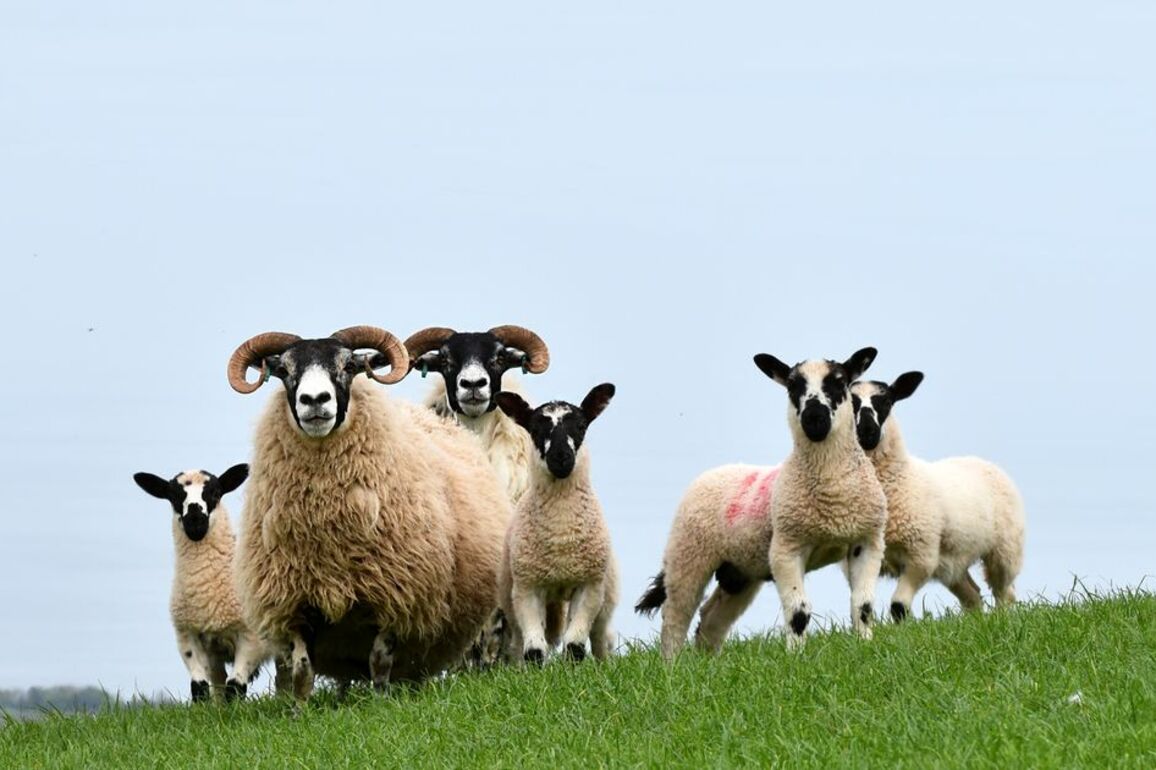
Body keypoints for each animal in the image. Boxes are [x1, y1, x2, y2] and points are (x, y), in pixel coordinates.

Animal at [132, 464, 286, 702]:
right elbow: (200, 688)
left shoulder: (251, 638)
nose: (195, 520)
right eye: (173, 496)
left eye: (215, 492)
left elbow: (235, 687)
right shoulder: (188, 636)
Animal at [226, 326, 511, 699]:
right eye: (284, 370)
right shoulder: (295, 602)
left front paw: (380, 700)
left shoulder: (396, 596)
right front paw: (299, 709)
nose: (314, 400)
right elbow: (302, 670)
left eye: (349, 366)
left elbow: (380, 658)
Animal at [494, 383, 618, 663]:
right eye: (534, 429)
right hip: (513, 597)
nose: (561, 458)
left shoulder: (589, 586)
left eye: (581, 426)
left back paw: (603, 664)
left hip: (605, 597)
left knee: (600, 637)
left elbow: (574, 646)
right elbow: (534, 650)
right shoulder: (528, 589)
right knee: (519, 643)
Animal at [851, 374, 1025, 620]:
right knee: (973, 596)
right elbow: (861, 605)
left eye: (887, 402)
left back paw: (1003, 620)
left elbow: (898, 607)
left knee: (1004, 593)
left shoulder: (922, 555)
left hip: (1005, 549)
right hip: (953, 563)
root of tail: (983, 461)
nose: (867, 432)